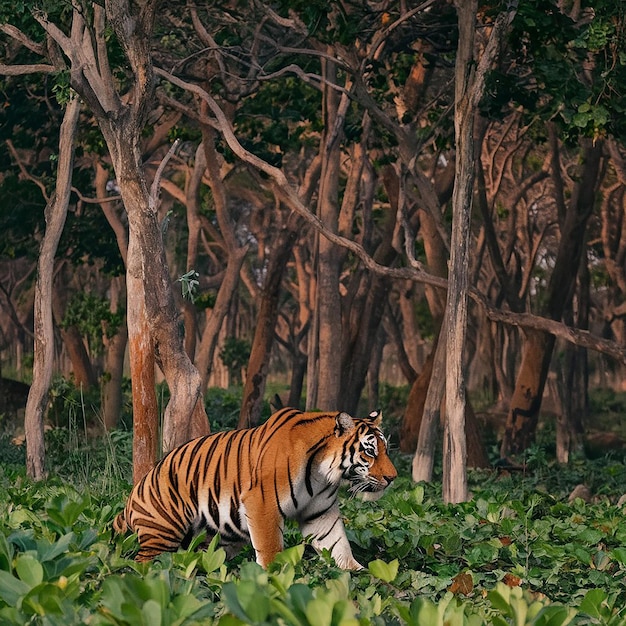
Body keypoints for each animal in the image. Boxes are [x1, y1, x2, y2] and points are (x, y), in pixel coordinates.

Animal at [112, 408, 394, 568]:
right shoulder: (262, 504)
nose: (393, 477)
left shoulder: (320, 514)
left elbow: (338, 545)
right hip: (162, 533)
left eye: (386, 449)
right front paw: (274, 581)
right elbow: (270, 550)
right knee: (144, 564)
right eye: (370, 452)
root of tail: (133, 493)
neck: (322, 472)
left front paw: (360, 575)